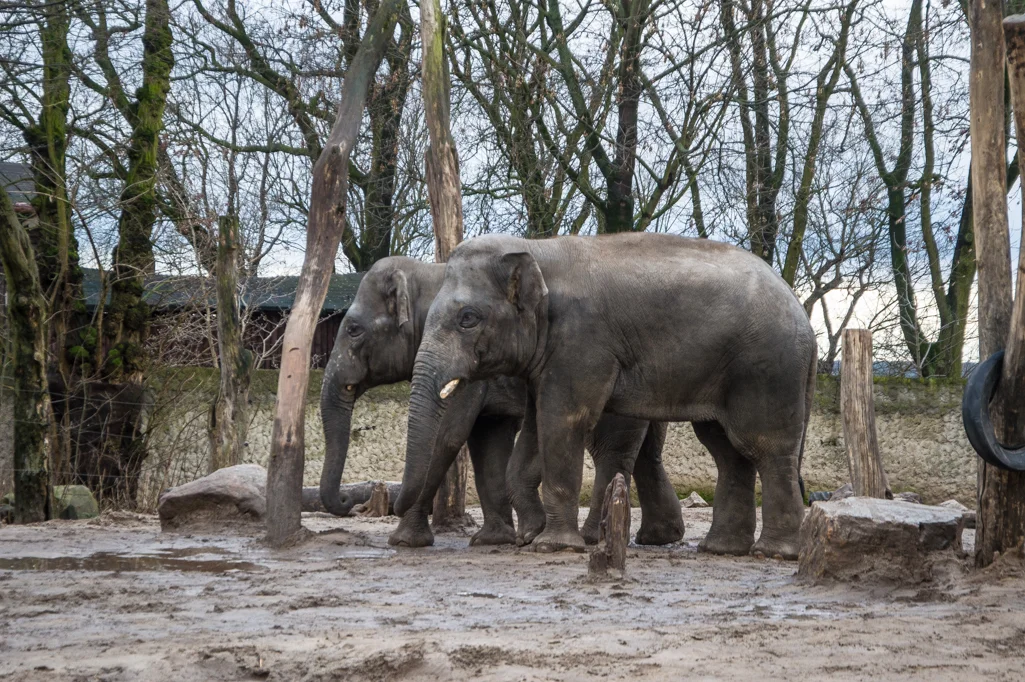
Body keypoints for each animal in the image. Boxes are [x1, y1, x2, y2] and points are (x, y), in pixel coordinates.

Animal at [317, 255, 688, 549]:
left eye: (352, 329)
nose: (350, 501)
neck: (424, 272)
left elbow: (448, 435)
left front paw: (405, 542)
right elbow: (487, 441)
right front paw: (493, 540)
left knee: (609, 451)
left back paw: (591, 538)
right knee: (646, 454)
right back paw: (658, 537)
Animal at [399, 233, 815, 557]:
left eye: (468, 318)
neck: (536, 248)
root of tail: (801, 313)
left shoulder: (581, 342)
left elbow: (563, 421)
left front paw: (552, 545)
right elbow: (535, 428)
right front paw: (530, 536)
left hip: (766, 369)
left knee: (765, 445)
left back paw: (772, 553)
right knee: (727, 450)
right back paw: (721, 549)